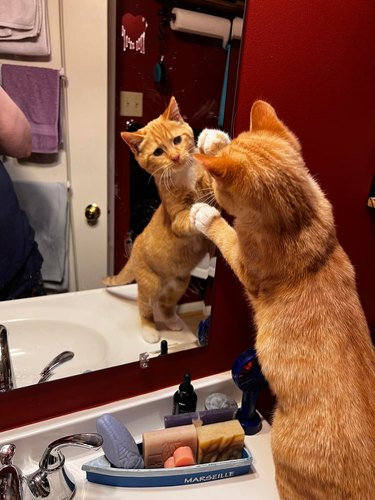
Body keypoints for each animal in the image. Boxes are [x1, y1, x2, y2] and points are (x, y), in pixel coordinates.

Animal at [104, 95, 231, 342]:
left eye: (177, 140)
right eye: (158, 152)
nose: (175, 156)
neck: (184, 175)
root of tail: (134, 249)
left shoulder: (210, 187)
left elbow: (215, 181)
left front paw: (215, 141)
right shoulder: (177, 218)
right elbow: (187, 218)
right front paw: (200, 214)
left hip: (179, 283)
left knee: (165, 304)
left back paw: (172, 322)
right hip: (149, 283)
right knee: (145, 306)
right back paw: (150, 331)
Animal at [191, 99, 375, 498]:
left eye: (215, 186)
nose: (206, 196)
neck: (299, 216)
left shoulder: (244, 264)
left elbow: (224, 231)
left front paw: (205, 213)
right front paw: (216, 139)